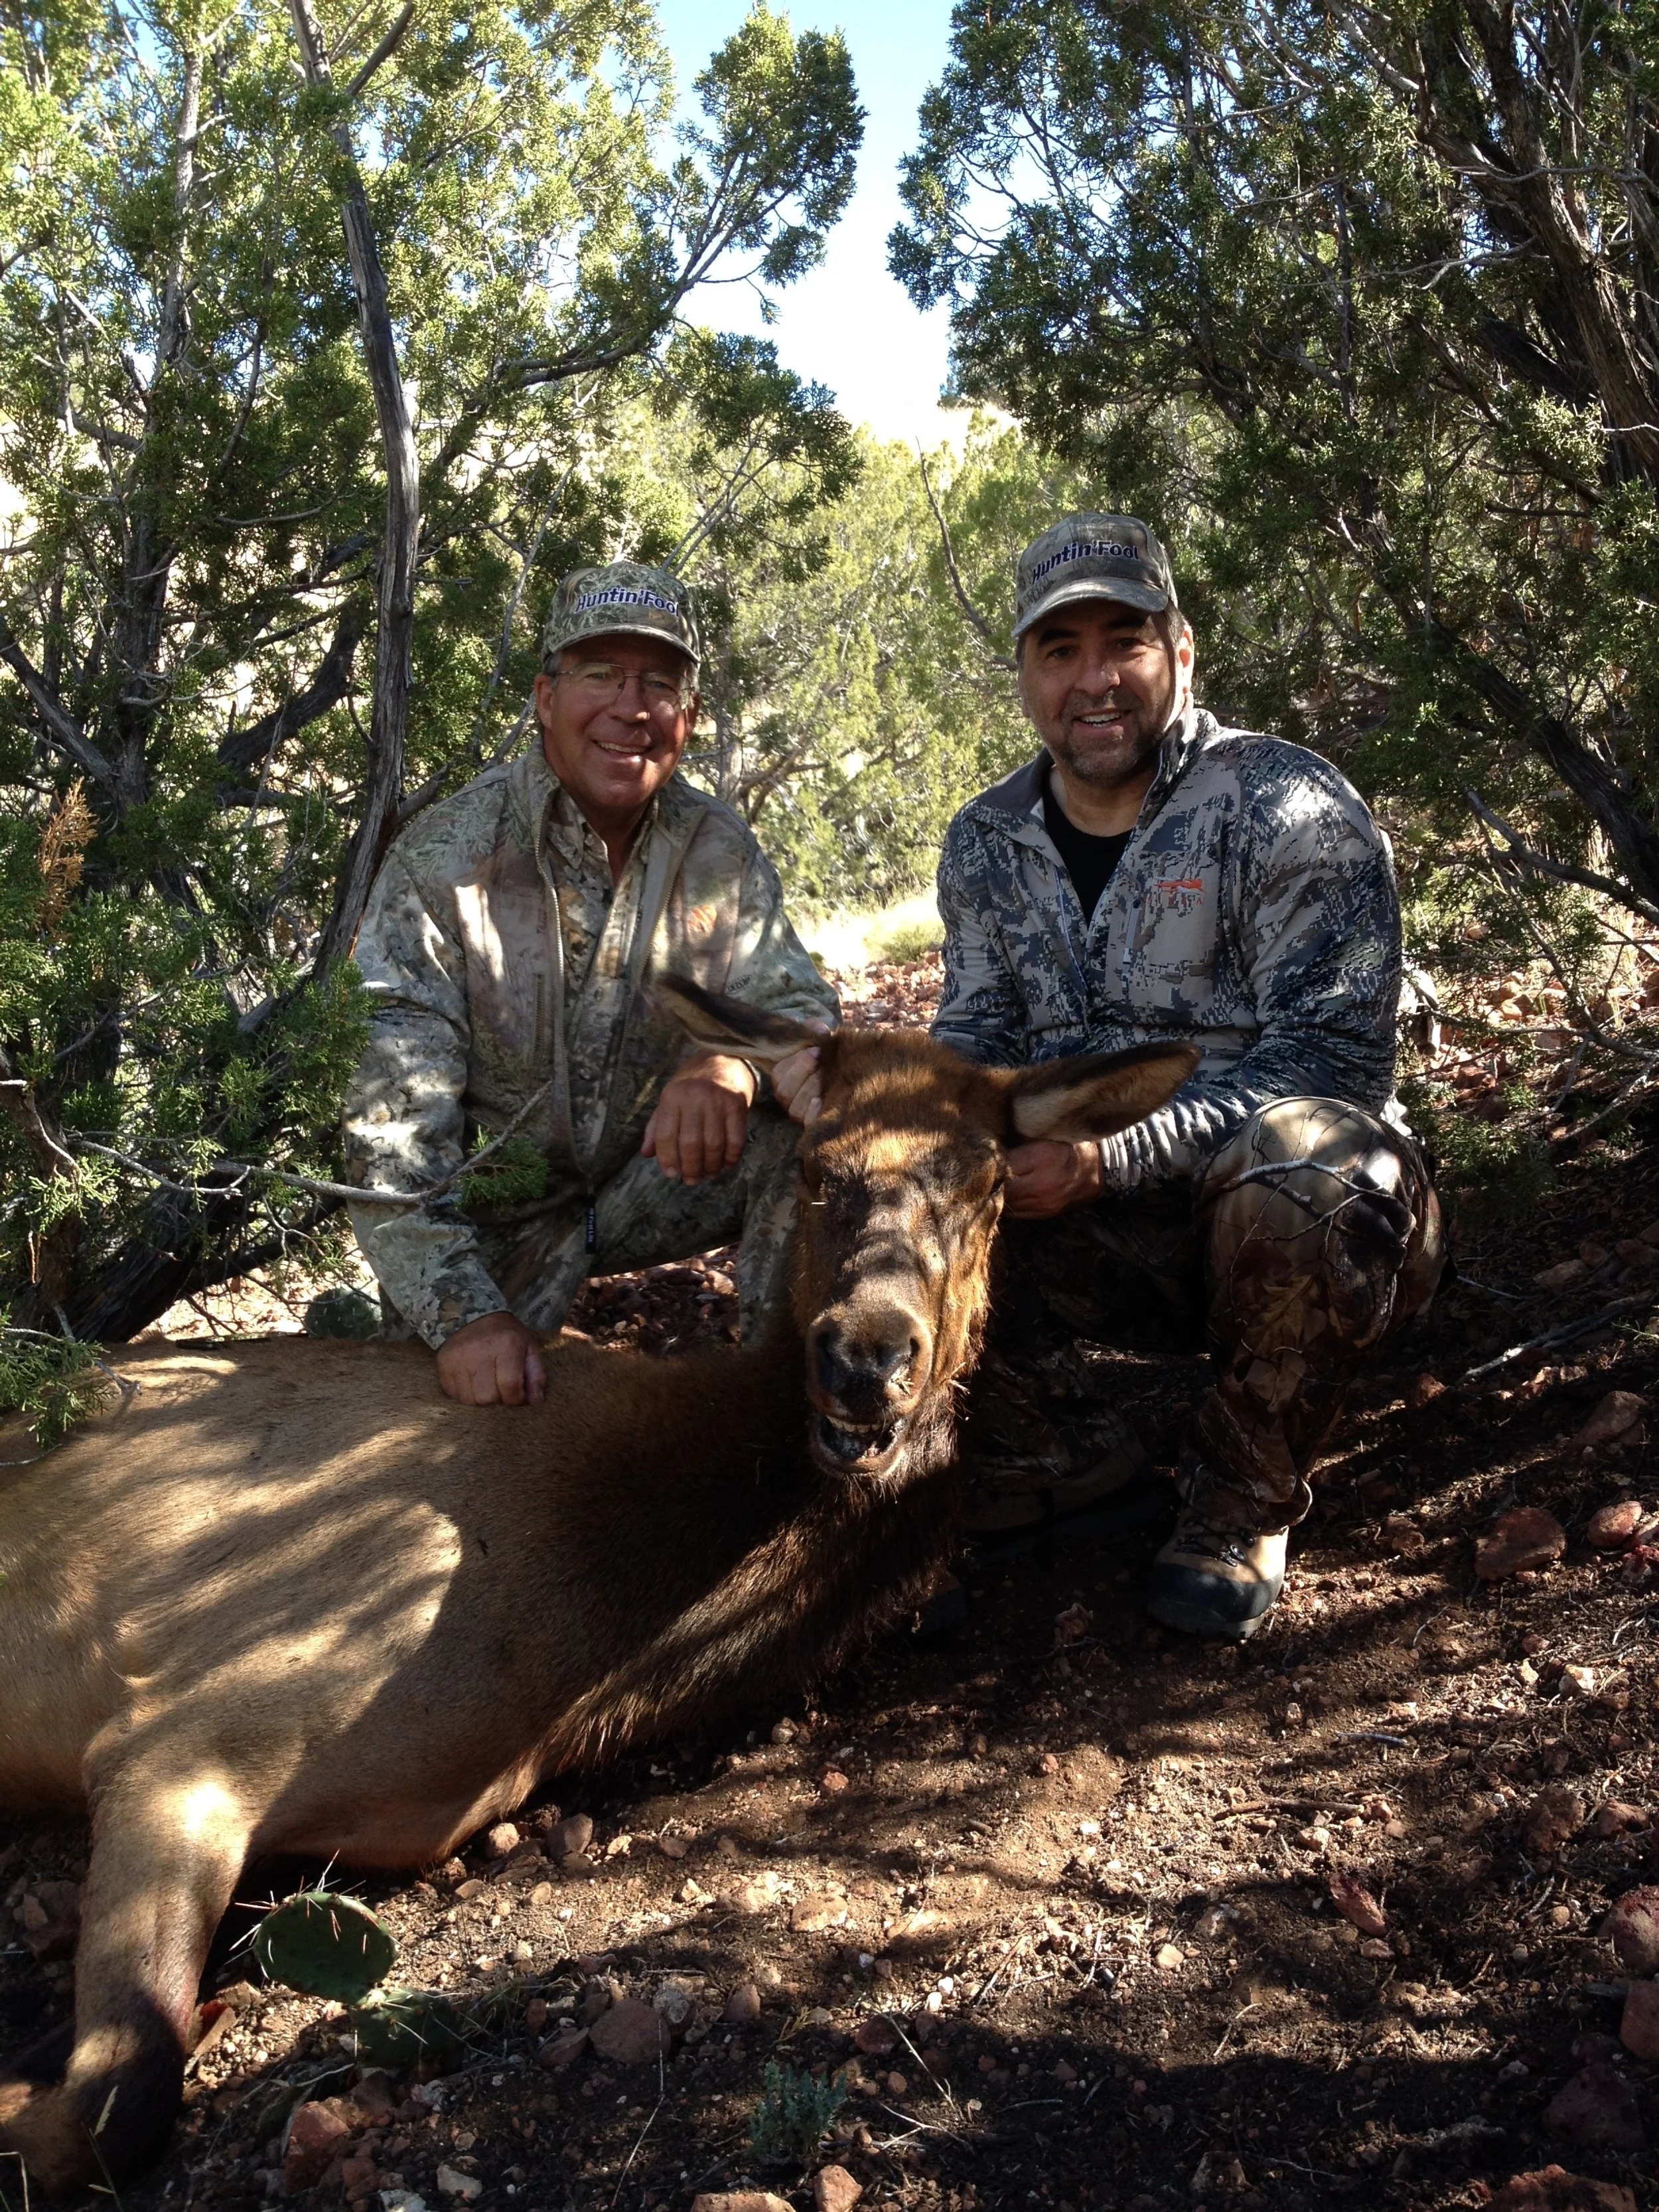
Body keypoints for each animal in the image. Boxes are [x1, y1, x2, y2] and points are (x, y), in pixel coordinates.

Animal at [0, 982, 1195, 2192]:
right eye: (819, 1167)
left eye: (990, 1182)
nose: (866, 1356)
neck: (605, 1624)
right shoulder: (183, 1742)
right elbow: (113, 2101)